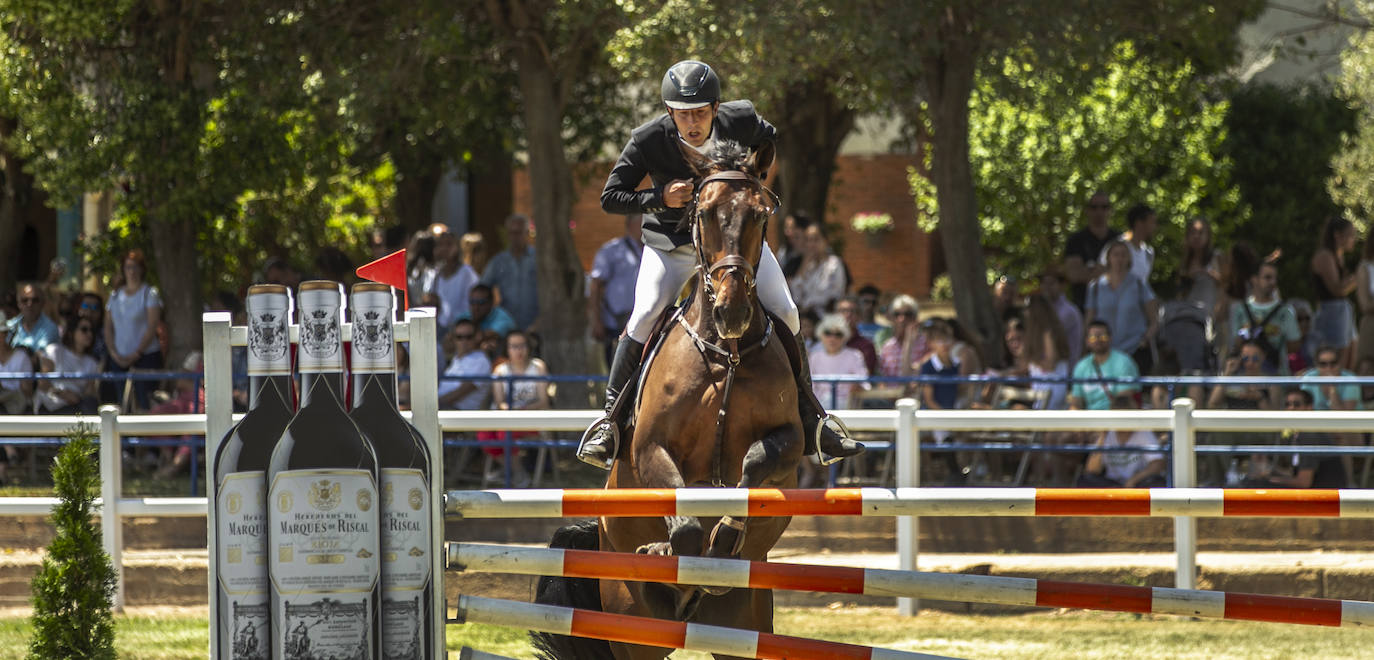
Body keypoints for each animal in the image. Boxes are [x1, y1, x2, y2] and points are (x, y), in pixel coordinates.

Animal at [530, 136, 802, 657]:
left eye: (760, 214)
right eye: (704, 213)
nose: (733, 312)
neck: (726, 355)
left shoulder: (791, 440)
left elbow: (754, 466)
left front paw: (727, 538)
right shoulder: (652, 447)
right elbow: (685, 516)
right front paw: (671, 546)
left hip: (743, 627)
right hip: (632, 624)